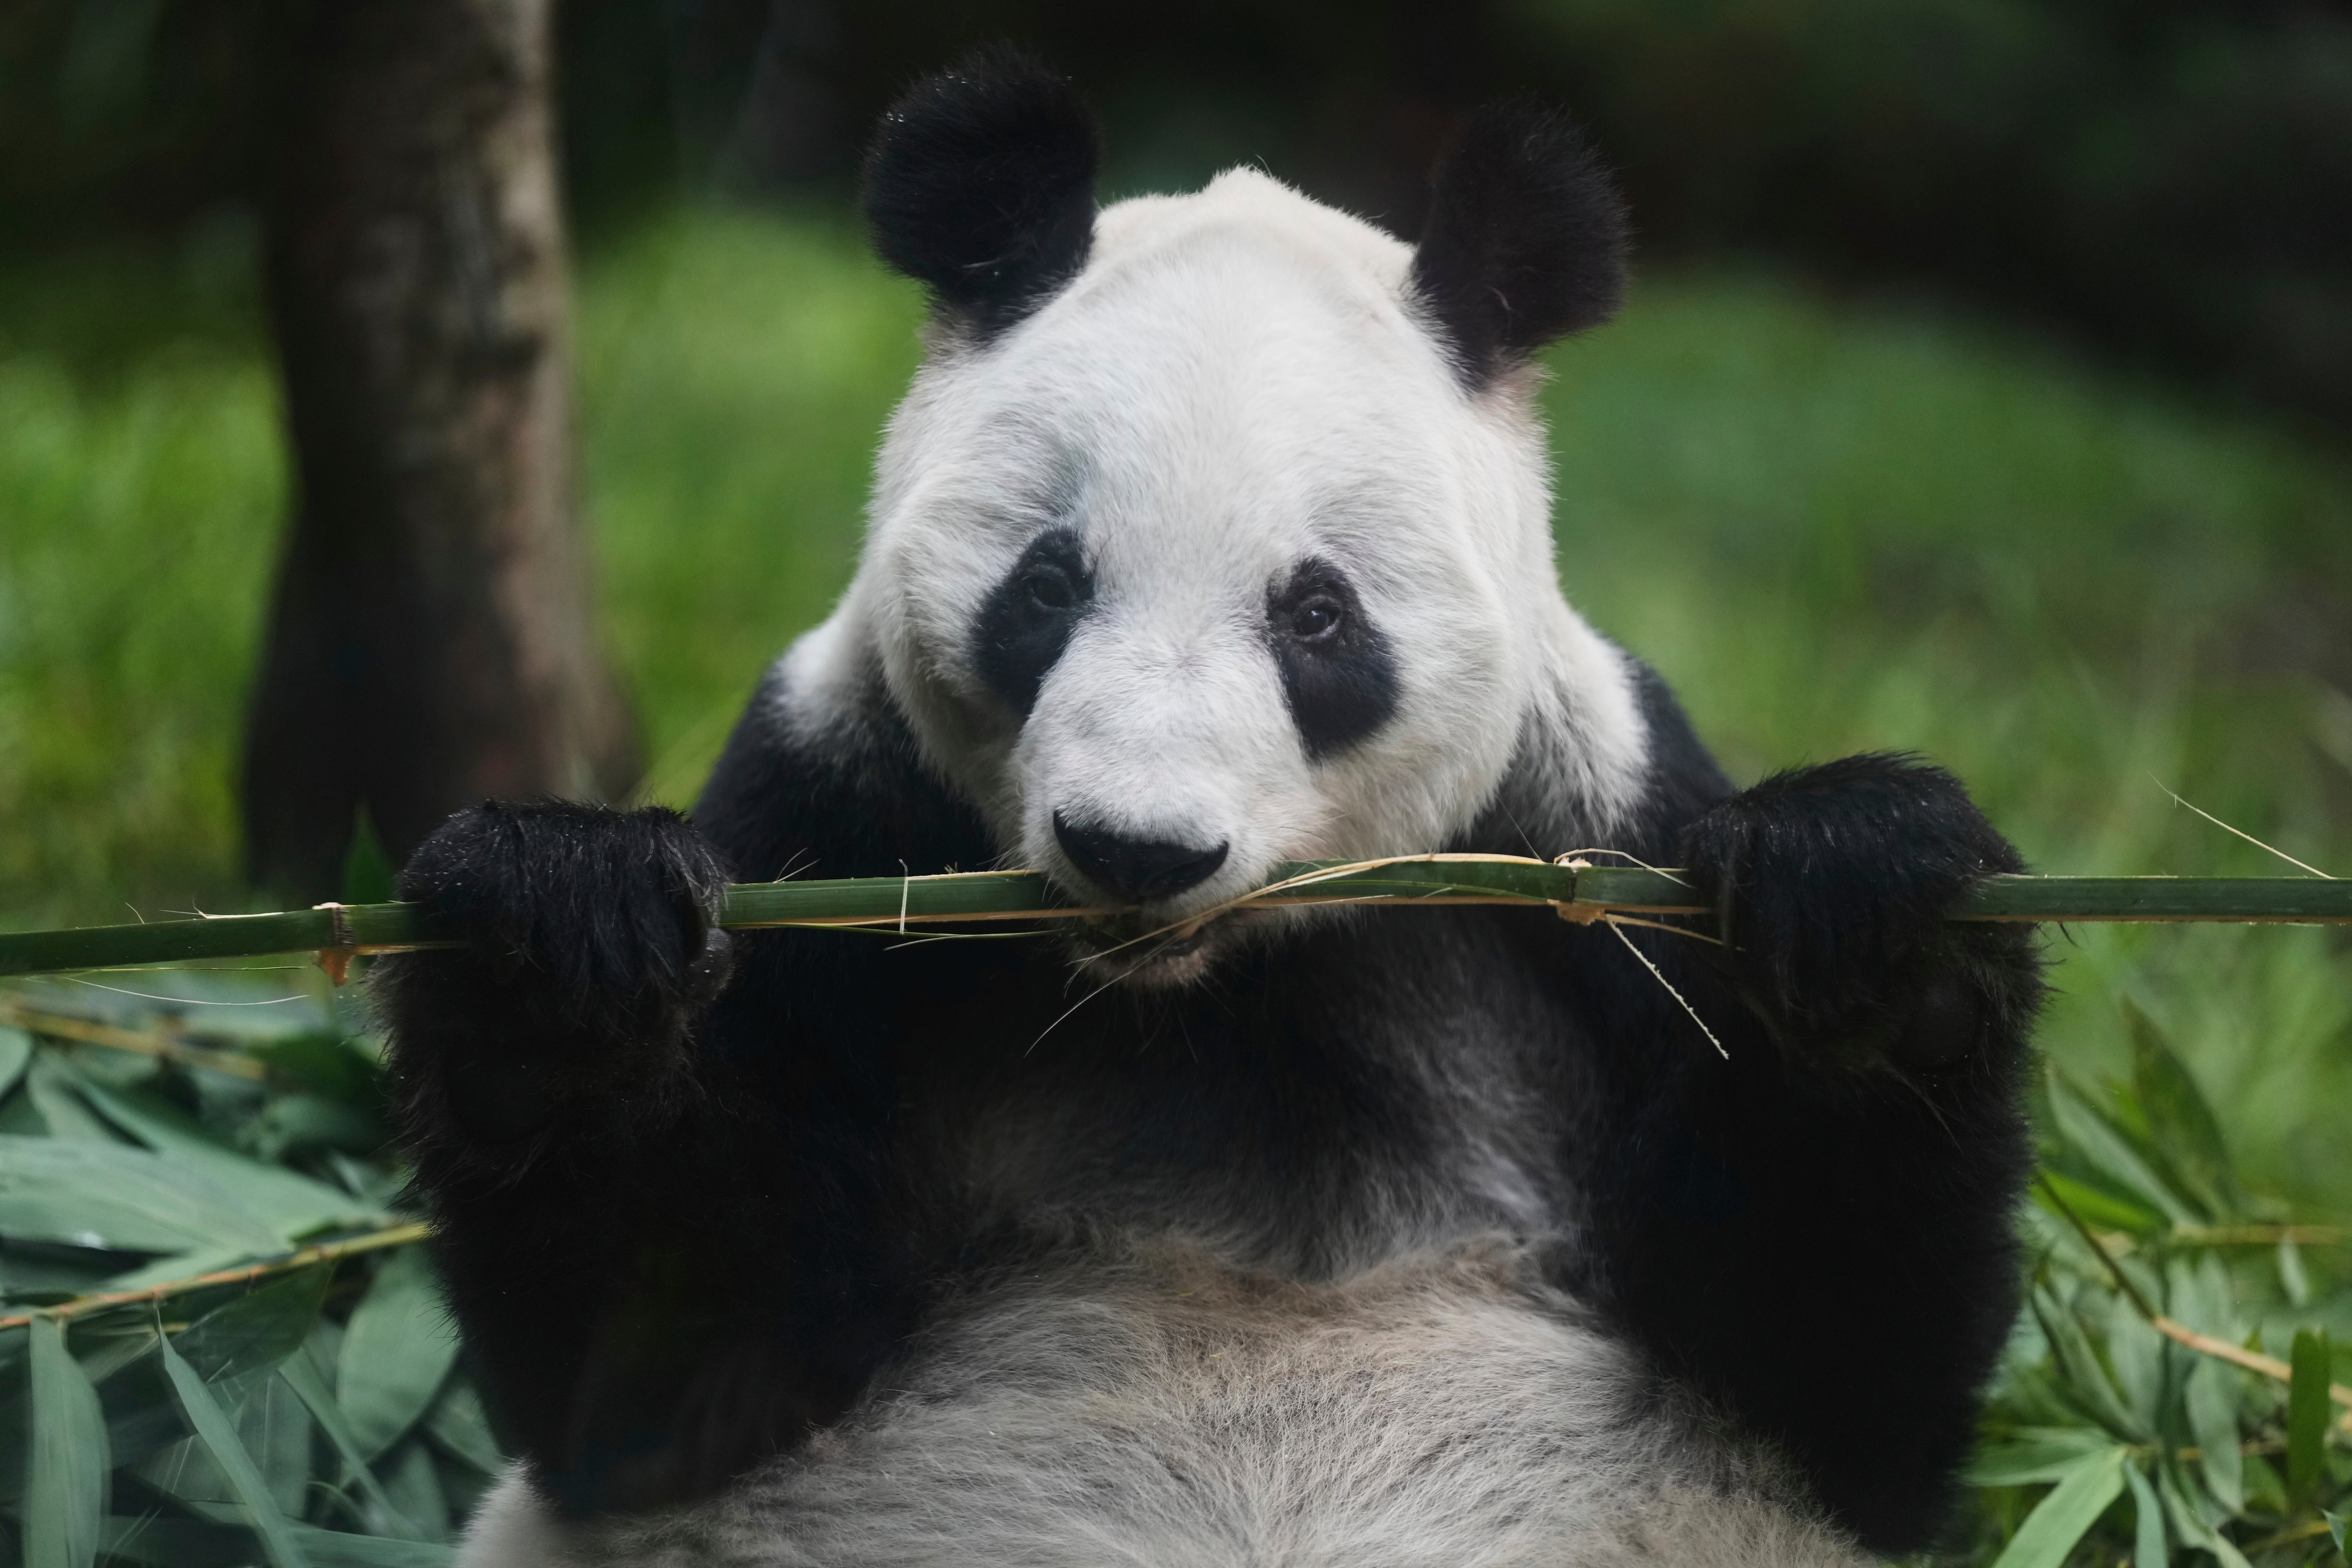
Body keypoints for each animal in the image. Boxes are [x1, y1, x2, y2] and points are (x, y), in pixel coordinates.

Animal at [379, 48, 2042, 1568]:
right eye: (1046, 586)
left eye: (1317, 618)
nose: (1137, 847)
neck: (1205, 995)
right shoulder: (834, 821)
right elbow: (669, 1375)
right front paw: (560, 938)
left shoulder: (1593, 845)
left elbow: (1833, 1376)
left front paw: (1863, 916)